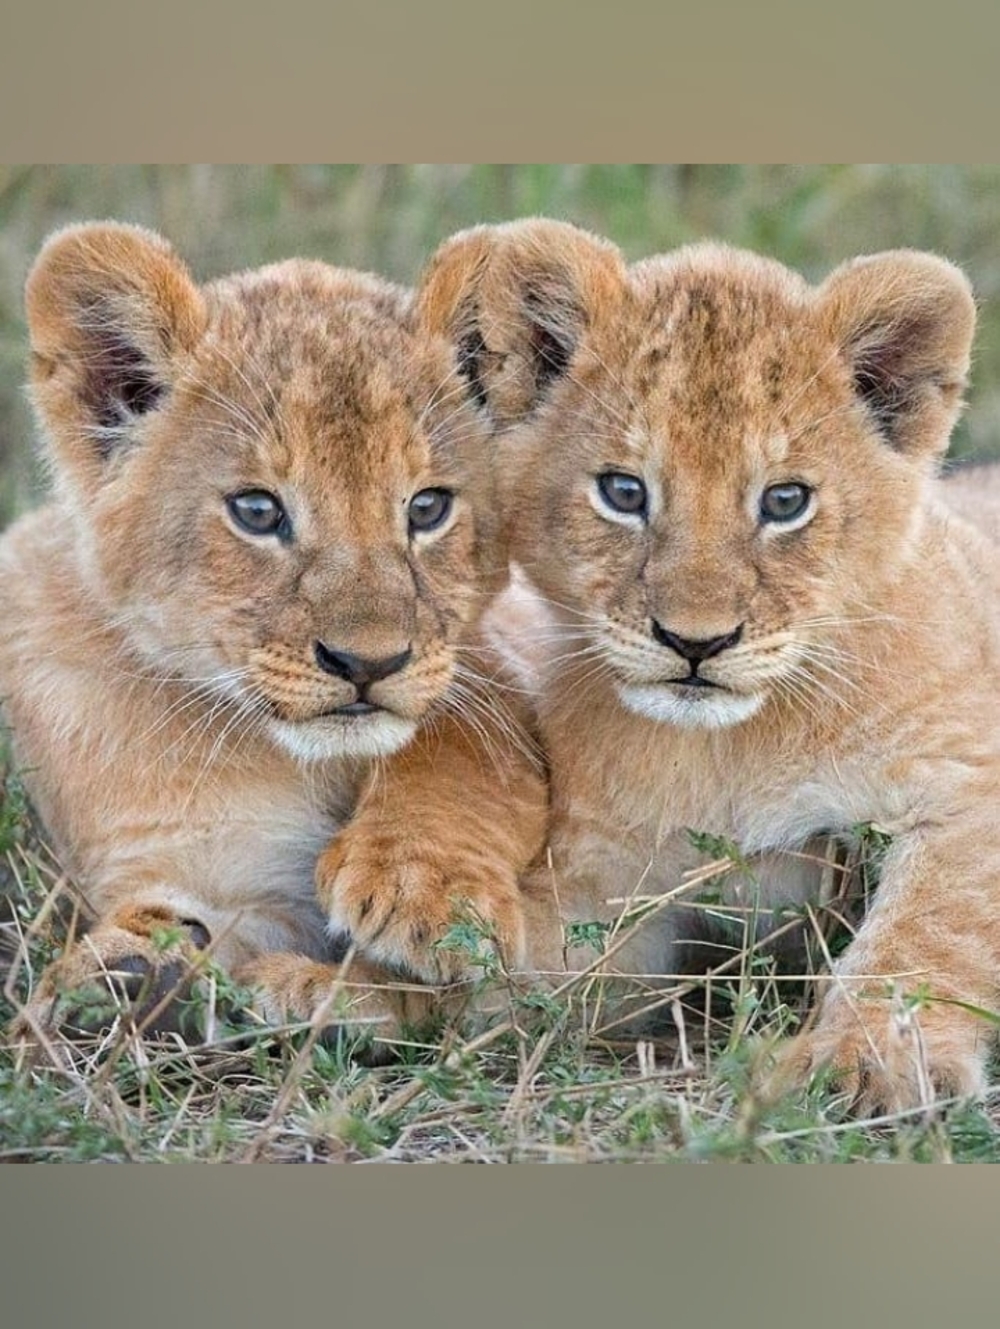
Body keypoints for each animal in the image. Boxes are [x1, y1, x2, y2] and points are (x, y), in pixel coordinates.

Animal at [0, 221, 546, 1049]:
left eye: (426, 508)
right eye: (257, 511)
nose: (368, 662)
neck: (285, 757)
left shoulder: (488, 669)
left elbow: (458, 756)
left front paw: (430, 895)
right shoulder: (206, 868)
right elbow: (185, 911)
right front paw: (127, 974)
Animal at [377, 216, 1000, 1116]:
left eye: (785, 501)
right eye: (624, 492)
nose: (697, 643)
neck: (731, 750)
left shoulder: (967, 785)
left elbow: (926, 932)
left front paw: (868, 1060)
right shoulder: (613, 887)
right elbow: (521, 971)